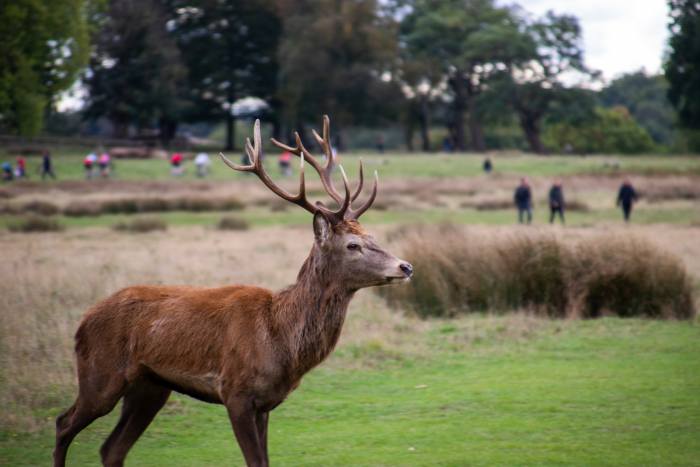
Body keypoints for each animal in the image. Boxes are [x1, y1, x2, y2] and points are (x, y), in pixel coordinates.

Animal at [53, 115, 414, 467]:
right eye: (353, 245)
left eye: (372, 237)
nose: (406, 266)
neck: (280, 340)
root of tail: (82, 322)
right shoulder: (235, 391)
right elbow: (254, 461)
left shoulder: (266, 403)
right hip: (100, 374)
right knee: (63, 423)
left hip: (150, 387)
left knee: (111, 449)